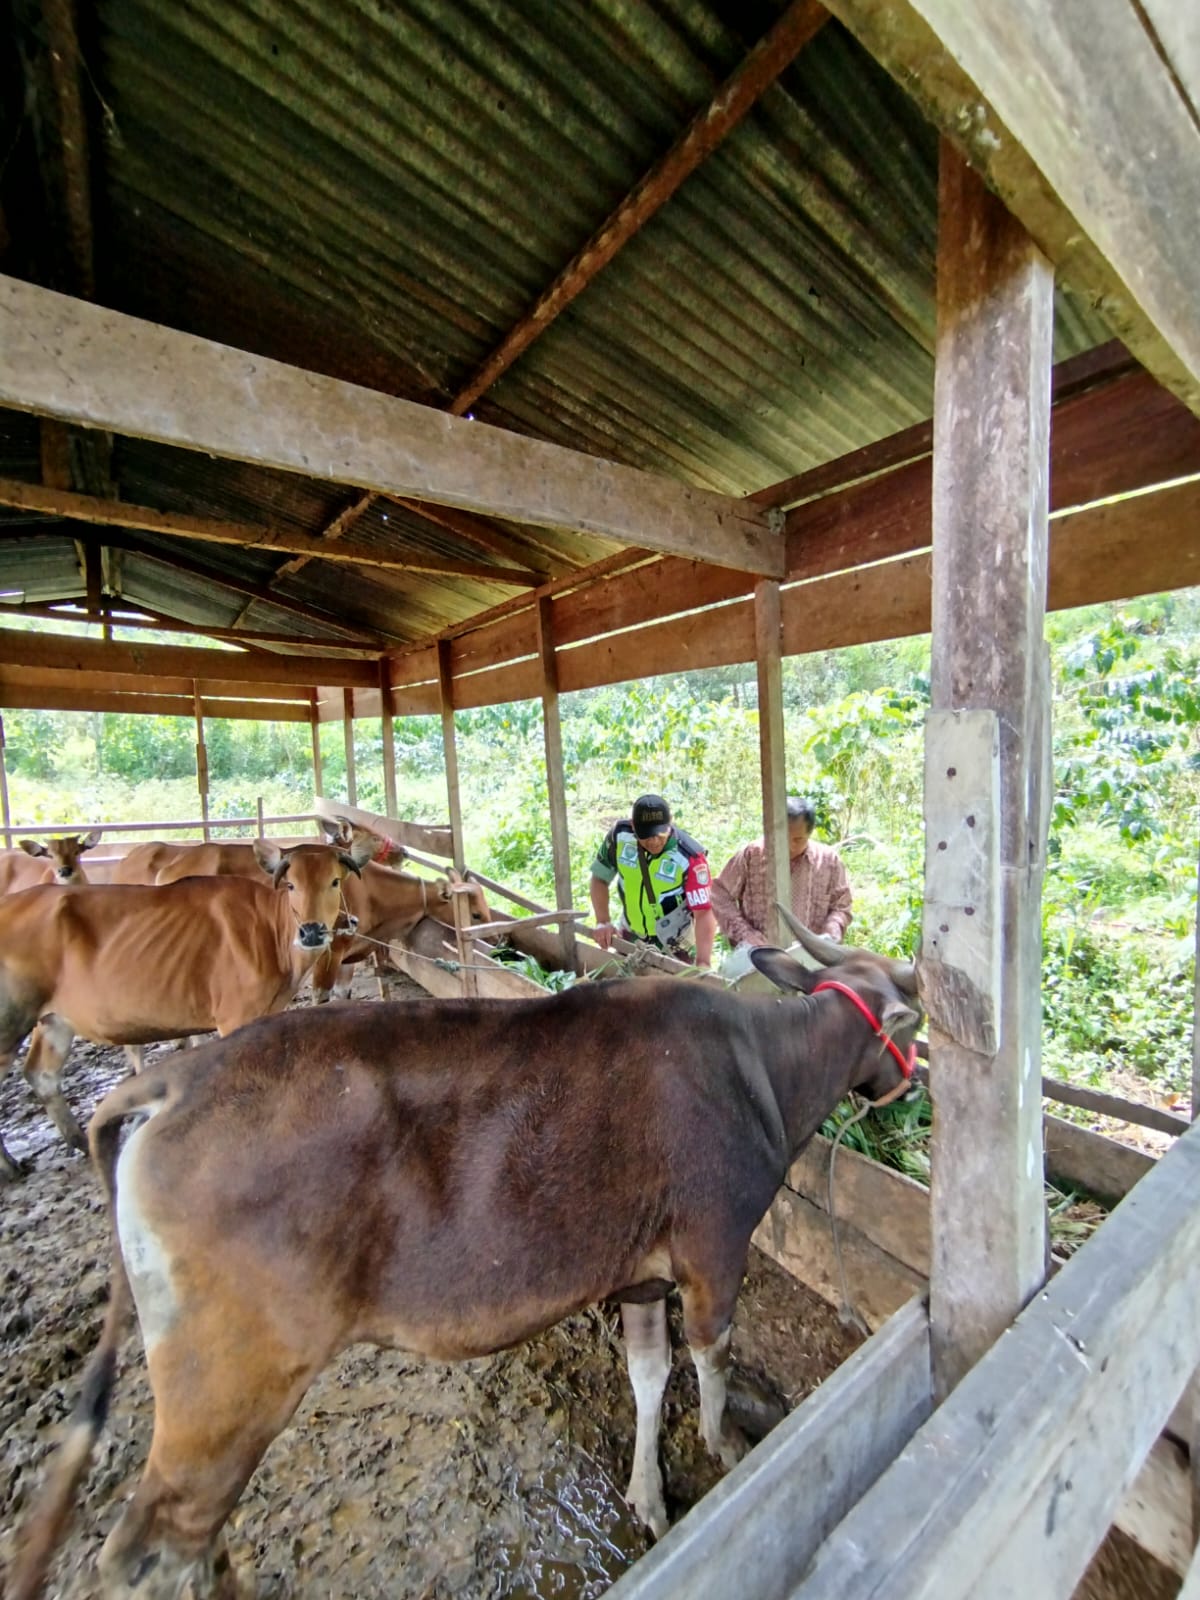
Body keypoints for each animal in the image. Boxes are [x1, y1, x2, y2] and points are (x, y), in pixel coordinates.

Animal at [0, 832, 376, 1184]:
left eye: (335, 881)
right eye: (290, 884)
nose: (312, 932)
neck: (271, 932)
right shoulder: (235, 1017)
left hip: (54, 1021)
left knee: (42, 1074)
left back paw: (79, 1141)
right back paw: (9, 1166)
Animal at [7, 928, 921, 1600]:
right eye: (911, 1018)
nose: (907, 1091)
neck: (761, 1067)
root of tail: (167, 1084)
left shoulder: (640, 1274)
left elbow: (648, 1376)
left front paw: (649, 1497)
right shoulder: (715, 1252)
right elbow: (712, 1366)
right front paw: (725, 1448)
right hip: (228, 1386)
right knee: (154, 1551)